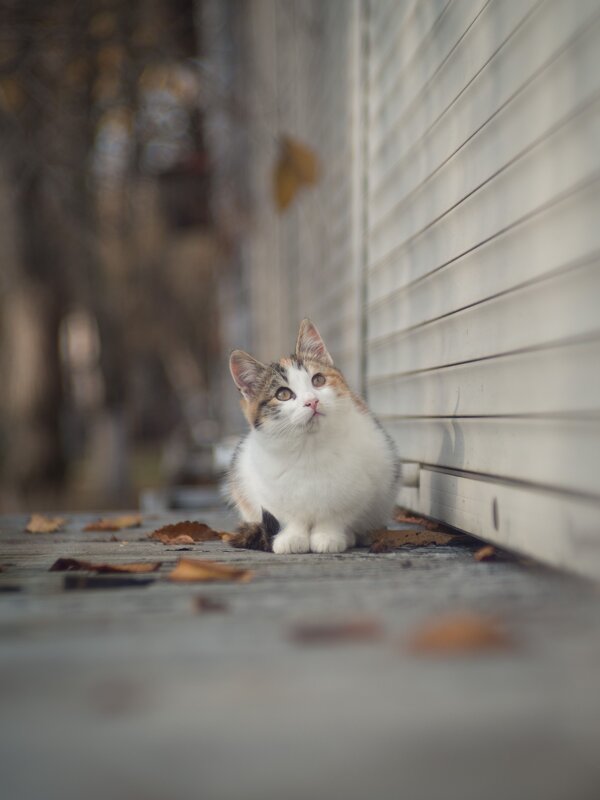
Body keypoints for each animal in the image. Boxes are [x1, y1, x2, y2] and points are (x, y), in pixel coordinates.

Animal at [227, 316, 400, 552]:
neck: (309, 447)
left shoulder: (362, 485)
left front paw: (328, 536)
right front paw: (291, 537)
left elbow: (336, 513)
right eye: (283, 394)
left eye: (318, 380)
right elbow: (289, 516)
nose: (312, 401)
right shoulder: (263, 488)